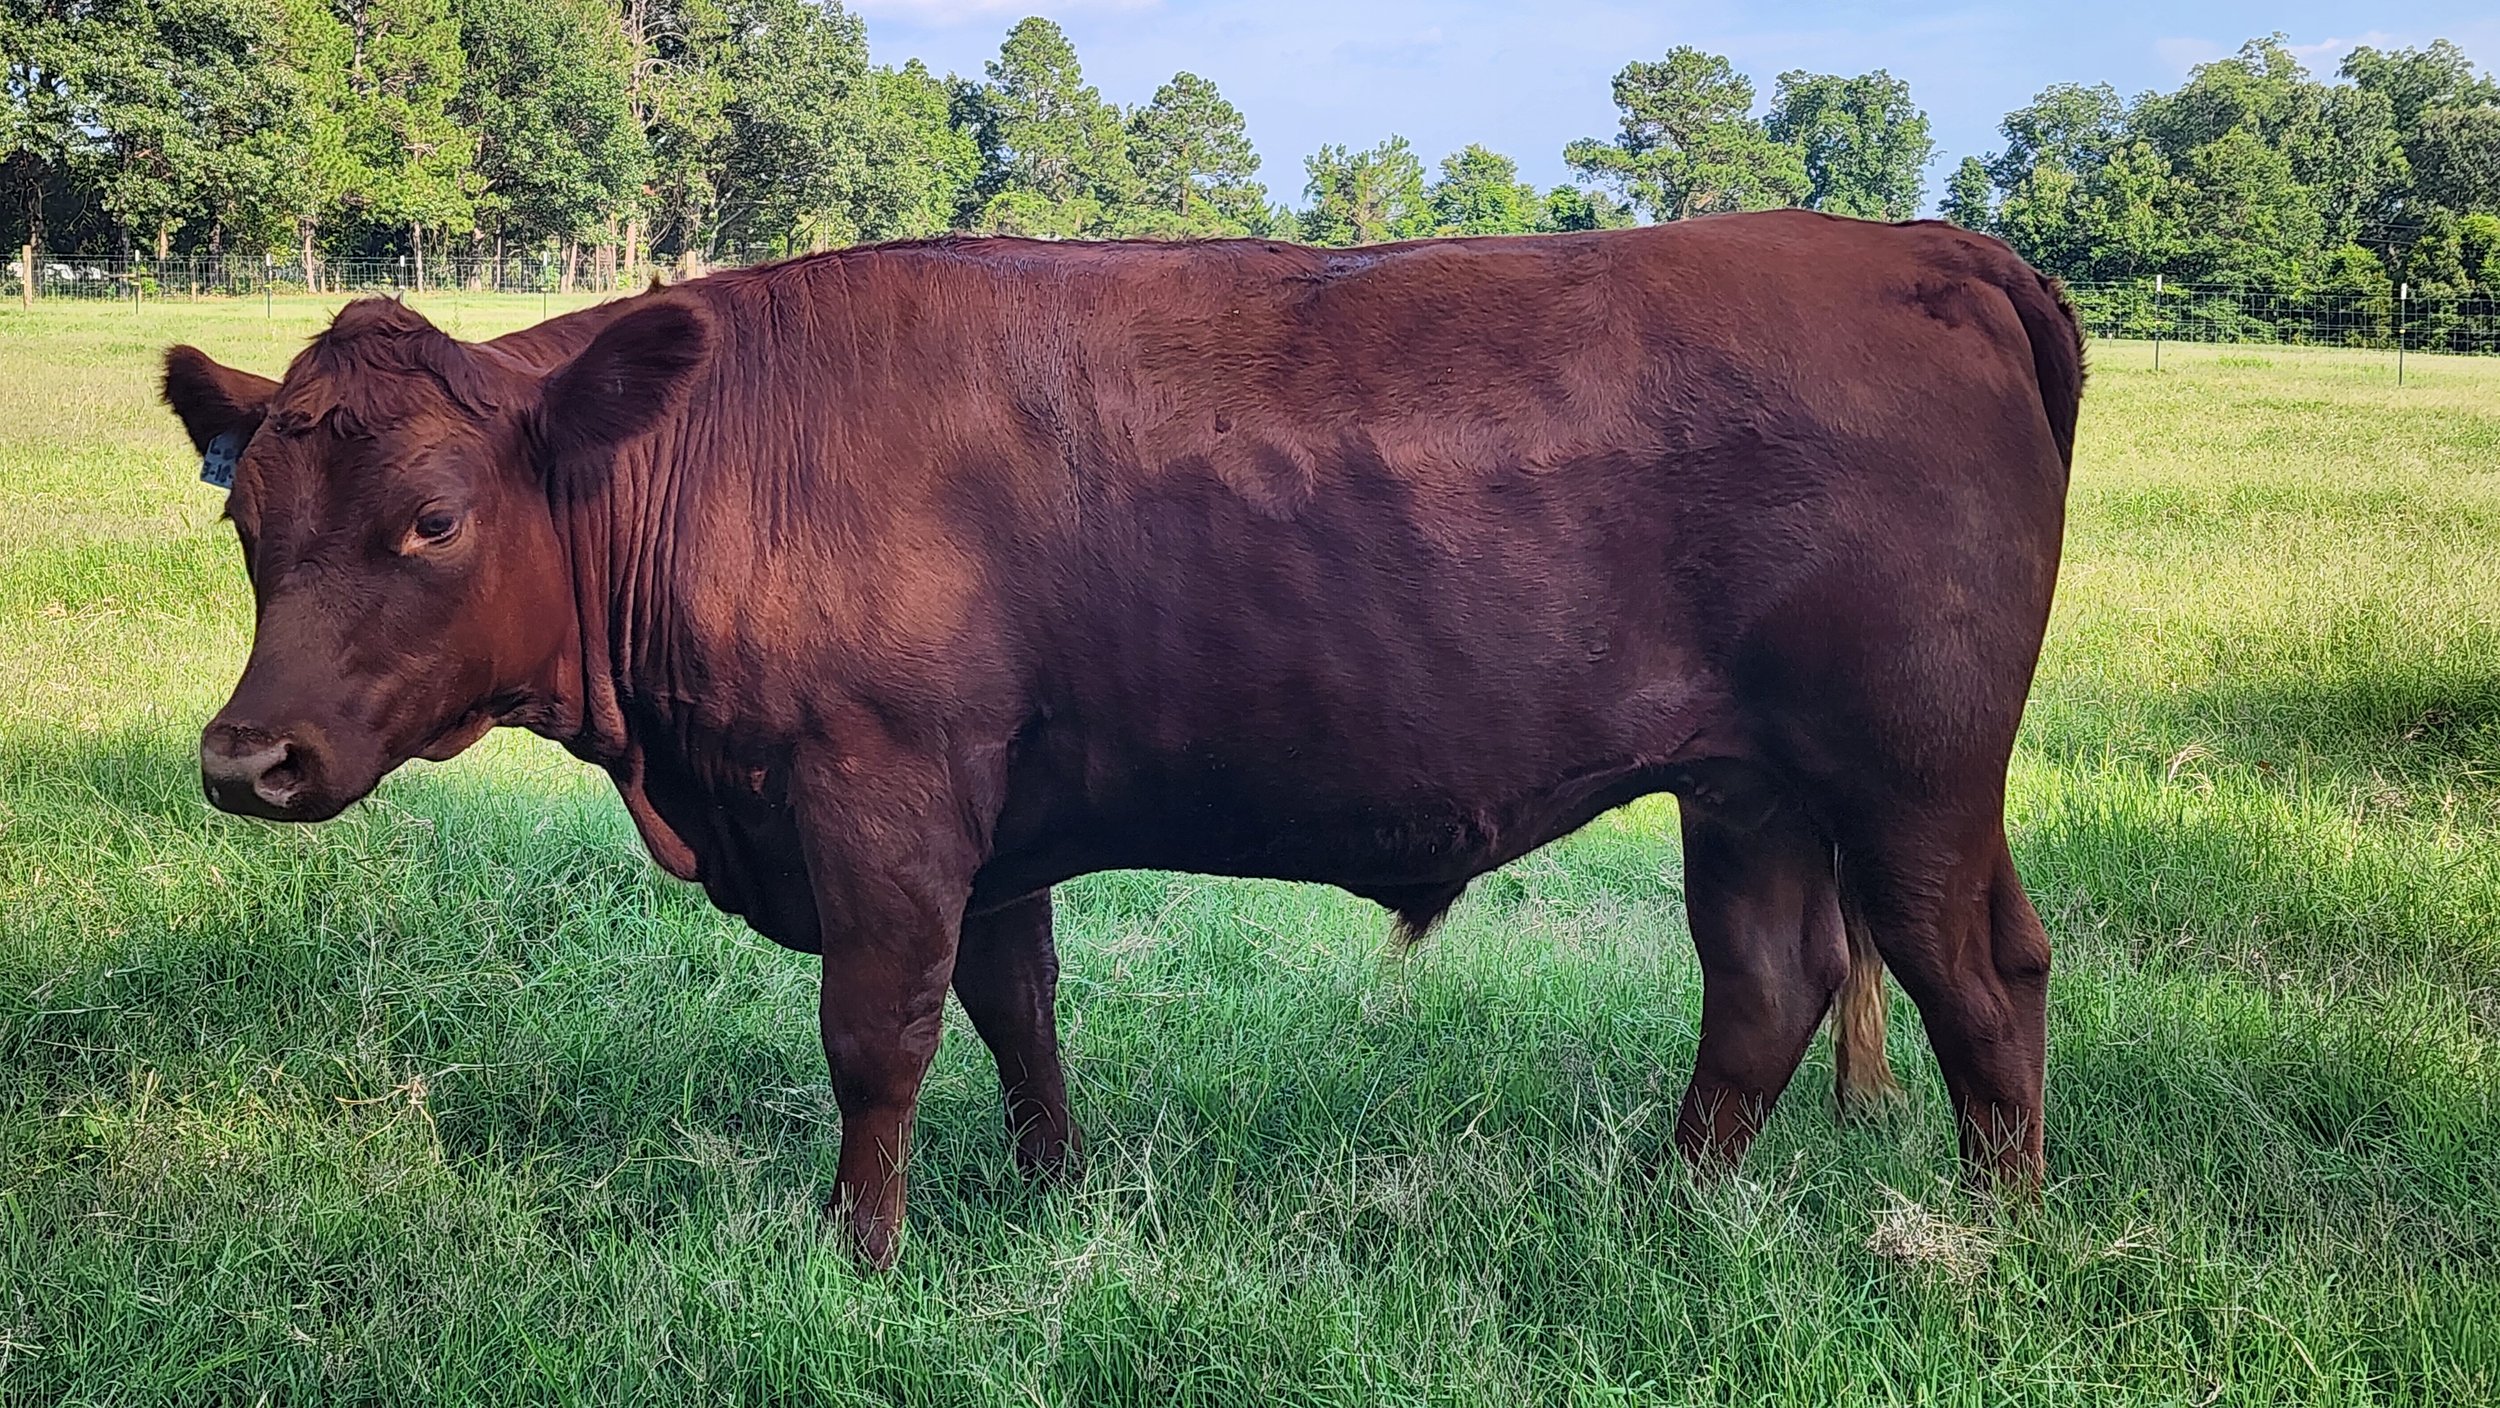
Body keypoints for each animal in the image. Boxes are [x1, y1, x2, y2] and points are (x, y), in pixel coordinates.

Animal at [162, 210, 2081, 1267]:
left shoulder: (880, 800)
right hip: (1749, 787)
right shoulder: (989, 826)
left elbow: (878, 1037)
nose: (245, 760)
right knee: (1768, 984)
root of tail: (1920, 247)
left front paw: (857, 1251)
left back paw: (1993, 1237)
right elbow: (1017, 1010)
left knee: (1975, 976)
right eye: (245, 515)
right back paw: (1663, 1206)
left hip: (1911, 776)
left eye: (430, 520)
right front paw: (1048, 1187)